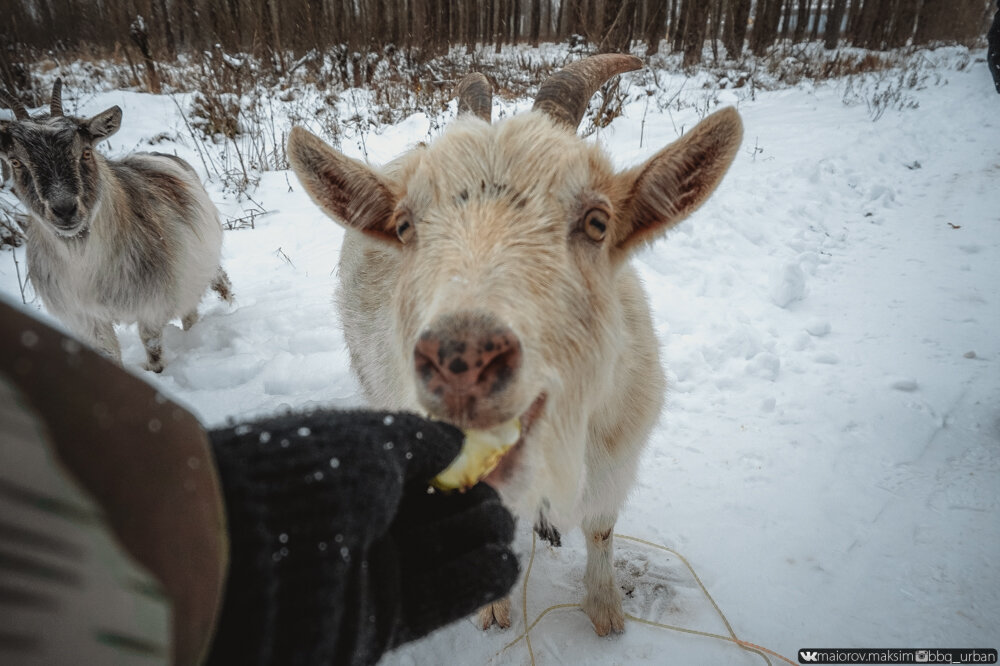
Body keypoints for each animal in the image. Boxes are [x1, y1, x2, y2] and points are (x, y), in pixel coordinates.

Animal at [0, 81, 230, 370]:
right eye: (16, 161)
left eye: (86, 152)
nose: (64, 210)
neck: (87, 263)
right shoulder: (86, 318)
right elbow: (108, 353)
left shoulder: (152, 302)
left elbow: (152, 347)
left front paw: (155, 372)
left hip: (199, 265)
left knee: (206, 294)